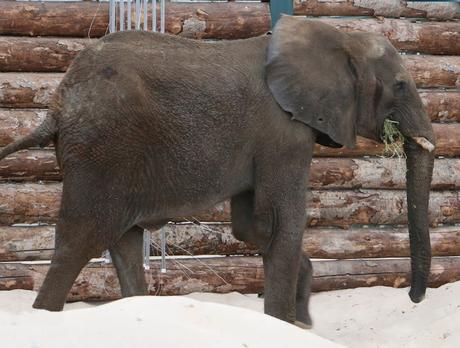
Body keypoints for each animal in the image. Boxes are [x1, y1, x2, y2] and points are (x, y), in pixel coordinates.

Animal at [0, 15, 434, 326]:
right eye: (399, 85)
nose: (414, 299)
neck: (337, 35)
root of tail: (57, 102)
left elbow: (251, 226)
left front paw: (302, 320)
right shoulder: (285, 132)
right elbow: (281, 221)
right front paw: (286, 323)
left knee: (123, 241)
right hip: (102, 150)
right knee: (79, 242)